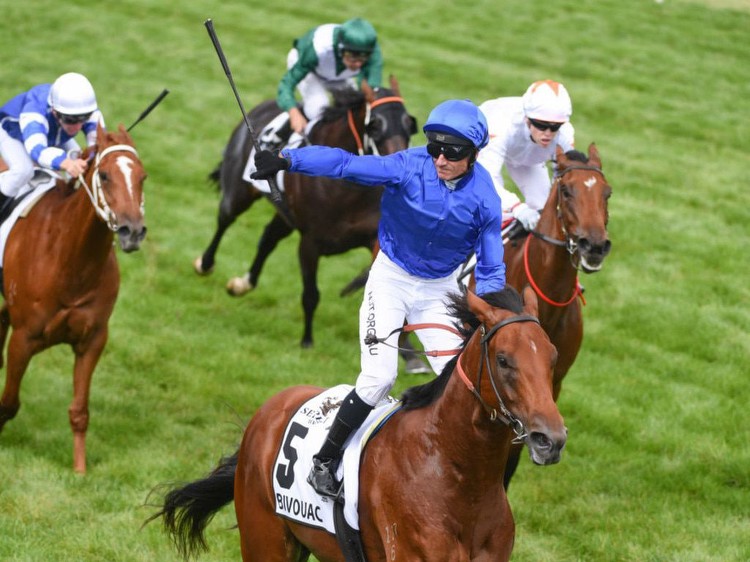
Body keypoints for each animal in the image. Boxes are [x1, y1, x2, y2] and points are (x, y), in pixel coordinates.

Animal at [0, 123, 148, 472]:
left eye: (143, 177)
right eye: (105, 175)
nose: (132, 231)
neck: (71, 263)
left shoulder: (92, 339)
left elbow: (80, 412)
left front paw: (80, 471)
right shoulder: (23, 338)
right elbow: (9, 403)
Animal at [150, 286, 568, 556]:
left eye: (552, 355)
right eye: (504, 360)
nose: (551, 439)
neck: (458, 478)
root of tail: (270, 409)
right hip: (264, 541)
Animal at [194, 75, 418, 346]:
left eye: (409, 124)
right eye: (374, 125)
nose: (402, 165)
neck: (348, 189)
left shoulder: (374, 239)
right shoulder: (310, 242)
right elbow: (311, 294)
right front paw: (307, 341)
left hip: (285, 216)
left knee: (268, 238)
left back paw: (244, 284)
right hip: (239, 192)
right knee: (225, 218)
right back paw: (205, 264)